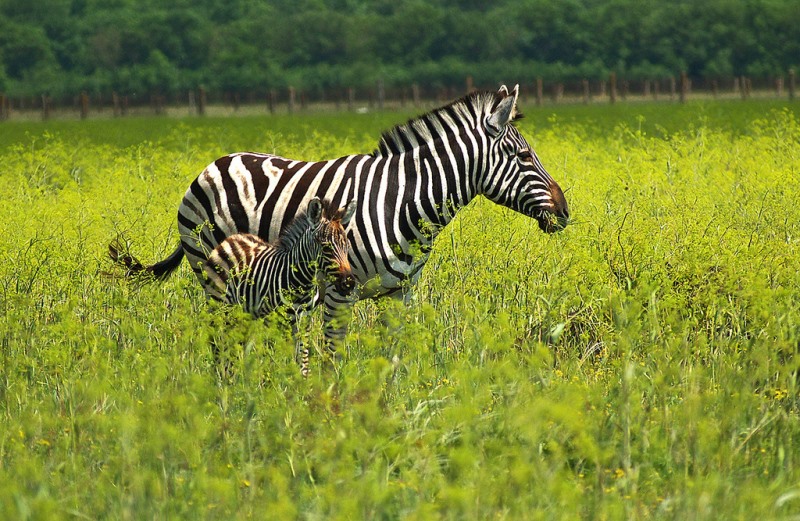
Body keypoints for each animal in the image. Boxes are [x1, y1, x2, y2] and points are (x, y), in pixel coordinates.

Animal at [202, 197, 358, 376]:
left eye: (347, 247)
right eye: (326, 247)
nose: (348, 283)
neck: (301, 283)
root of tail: (232, 238)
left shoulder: (303, 321)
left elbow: (302, 359)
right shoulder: (273, 320)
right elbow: (274, 356)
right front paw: (272, 380)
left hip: (243, 313)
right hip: (219, 306)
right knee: (217, 343)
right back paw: (220, 376)